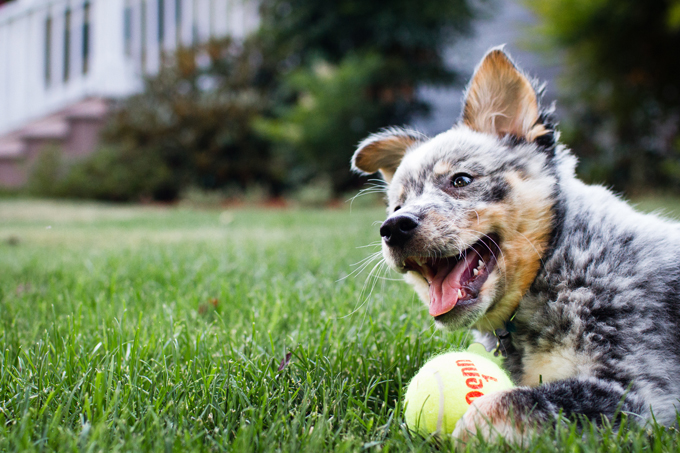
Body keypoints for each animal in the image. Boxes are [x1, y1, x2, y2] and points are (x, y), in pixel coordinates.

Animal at [350, 47, 680, 444]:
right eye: (397, 206)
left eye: (461, 180)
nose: (394, 228)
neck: (558, 264)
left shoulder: (644, 392)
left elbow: (508, 402)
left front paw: (465, 432)